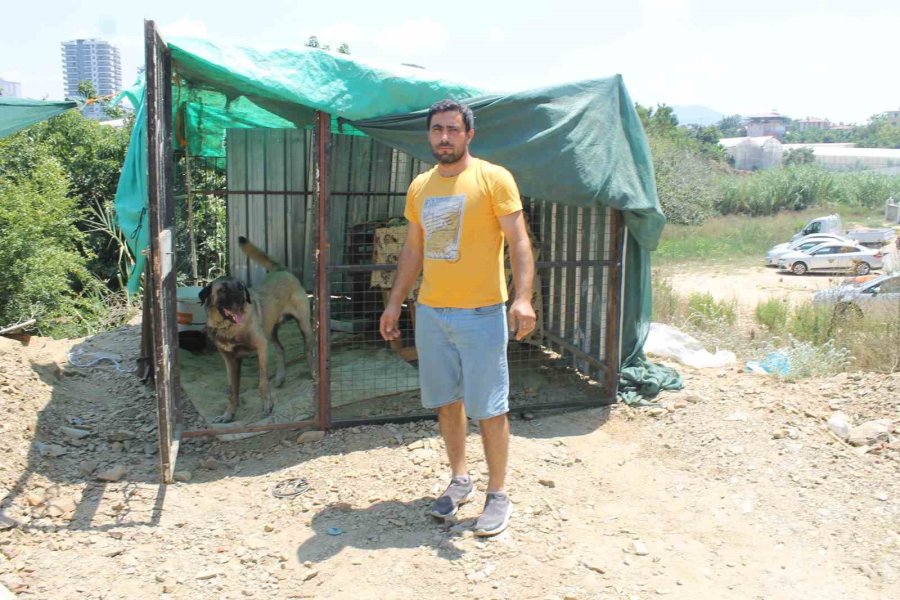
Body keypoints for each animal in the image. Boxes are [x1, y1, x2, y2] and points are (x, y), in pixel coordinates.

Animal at [199, 236, 314, 422]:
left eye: (240, 288)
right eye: (223, 290)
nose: (241, 301)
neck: (230, 327)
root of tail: (281, 270)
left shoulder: (261, 346)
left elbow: (262, 381)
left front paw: (267, 405)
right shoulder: (230, 360)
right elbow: (232, 390)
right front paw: (228, 414)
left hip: (303, 325)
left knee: (308, 350)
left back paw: (313, 372)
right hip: (271, 332)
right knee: (281, 349)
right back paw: (280, 377)